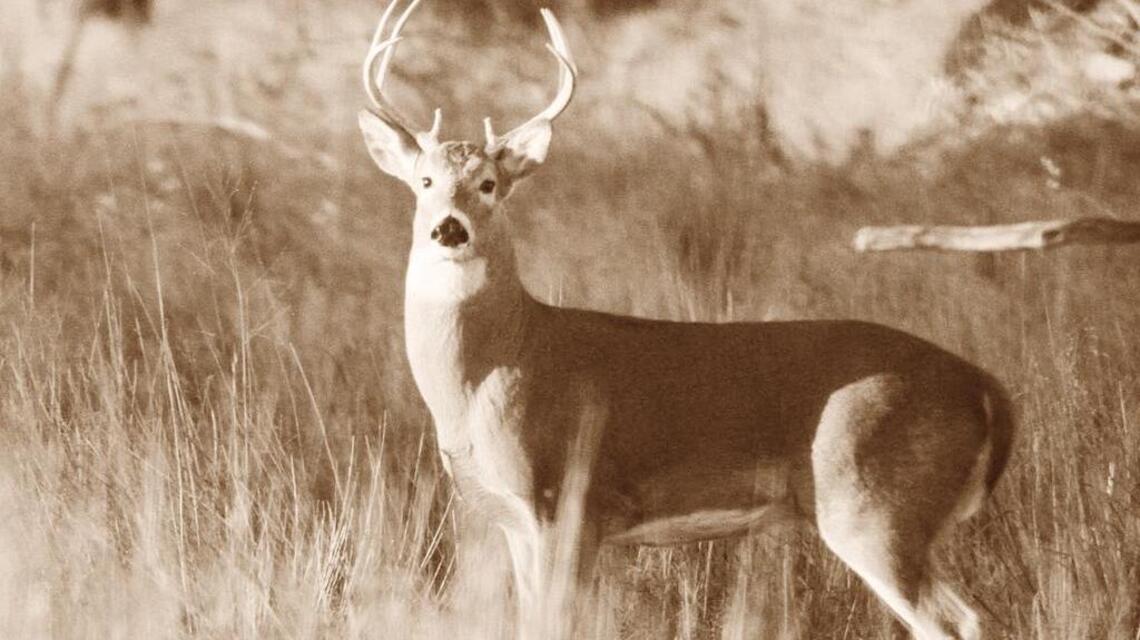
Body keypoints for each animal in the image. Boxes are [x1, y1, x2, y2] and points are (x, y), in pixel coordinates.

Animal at [356, 2, 1015, 638]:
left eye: (490, 184)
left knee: (959, 619)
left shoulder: (566, 500)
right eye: (424, 181)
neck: (494, 372)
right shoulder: (513, 520)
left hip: (874, 504)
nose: (449, 228)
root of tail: (987, 387)